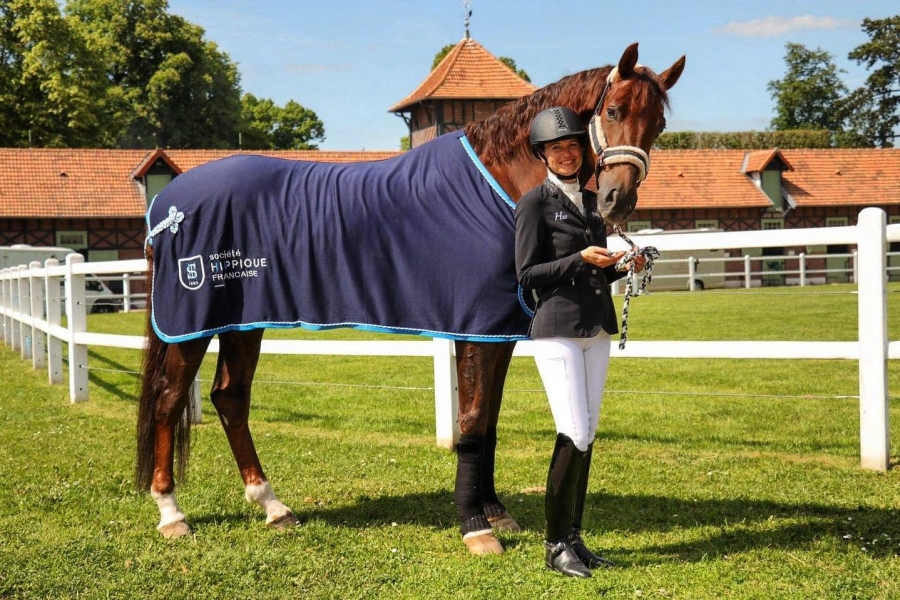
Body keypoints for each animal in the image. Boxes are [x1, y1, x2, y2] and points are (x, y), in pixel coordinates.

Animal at [135, 42, 684, 555]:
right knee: (168, 398)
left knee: (230, 397)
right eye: (613, 110)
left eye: (657, 124)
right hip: (190, 325)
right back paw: (171, 513)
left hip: (242, 322)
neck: (497, 186)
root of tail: (167, 206)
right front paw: (476, 527)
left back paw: (273, 506)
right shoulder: (476, 329)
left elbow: (489, 423)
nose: (617, 200)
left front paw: (495, 510)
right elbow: (471, 423)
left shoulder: (498, 332)